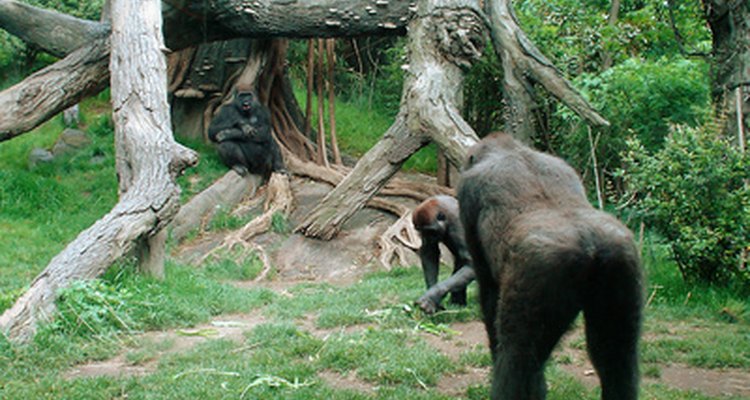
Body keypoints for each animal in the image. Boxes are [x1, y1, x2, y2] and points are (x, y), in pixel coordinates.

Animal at [458, 133, 648, 398]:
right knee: (617, 355)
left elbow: (488, 292)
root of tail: (589, 244)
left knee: (518, 357)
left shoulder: (468, 194)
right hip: (623, 263)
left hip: (543, 272)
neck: (510, 149)